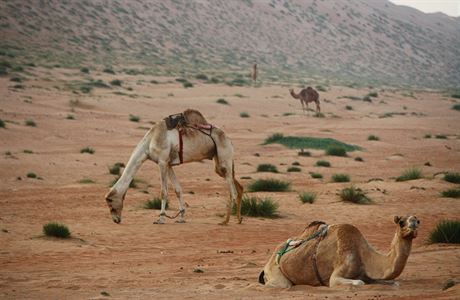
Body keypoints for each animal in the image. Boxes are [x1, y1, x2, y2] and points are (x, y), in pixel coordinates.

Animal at [105, 109, 244, 224]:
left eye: (110, 203)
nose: (116, 220)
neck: (150, 142)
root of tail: (229, 139)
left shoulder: (162, 162)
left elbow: (163, 192)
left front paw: (160, 219)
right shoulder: (168, 164)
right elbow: (178, 189)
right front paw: (181, 218)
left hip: (224, 156)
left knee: (233, 190)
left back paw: (225, 221)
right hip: (219, 162)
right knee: (238, 186)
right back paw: (239, 219)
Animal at [258, 214, 420, 288]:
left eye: (418, 221)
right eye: (401, 222)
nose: (413, 225)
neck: (364, 255)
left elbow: (392, 282)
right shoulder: (337, 274)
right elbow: (359, 282)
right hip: (275, 271)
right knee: (279, 284)